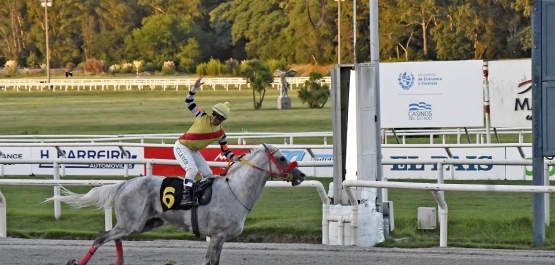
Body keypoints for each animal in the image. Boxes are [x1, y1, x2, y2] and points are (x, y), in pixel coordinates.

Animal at [45, 143, 306, 262]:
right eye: (283, 158)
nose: (302, 175)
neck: (236, 191)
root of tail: (124, 184)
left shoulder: (218, 238)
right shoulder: (218, 235)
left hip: (145, 223)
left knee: (113, 237)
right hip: (133, 223)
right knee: (102, 236)